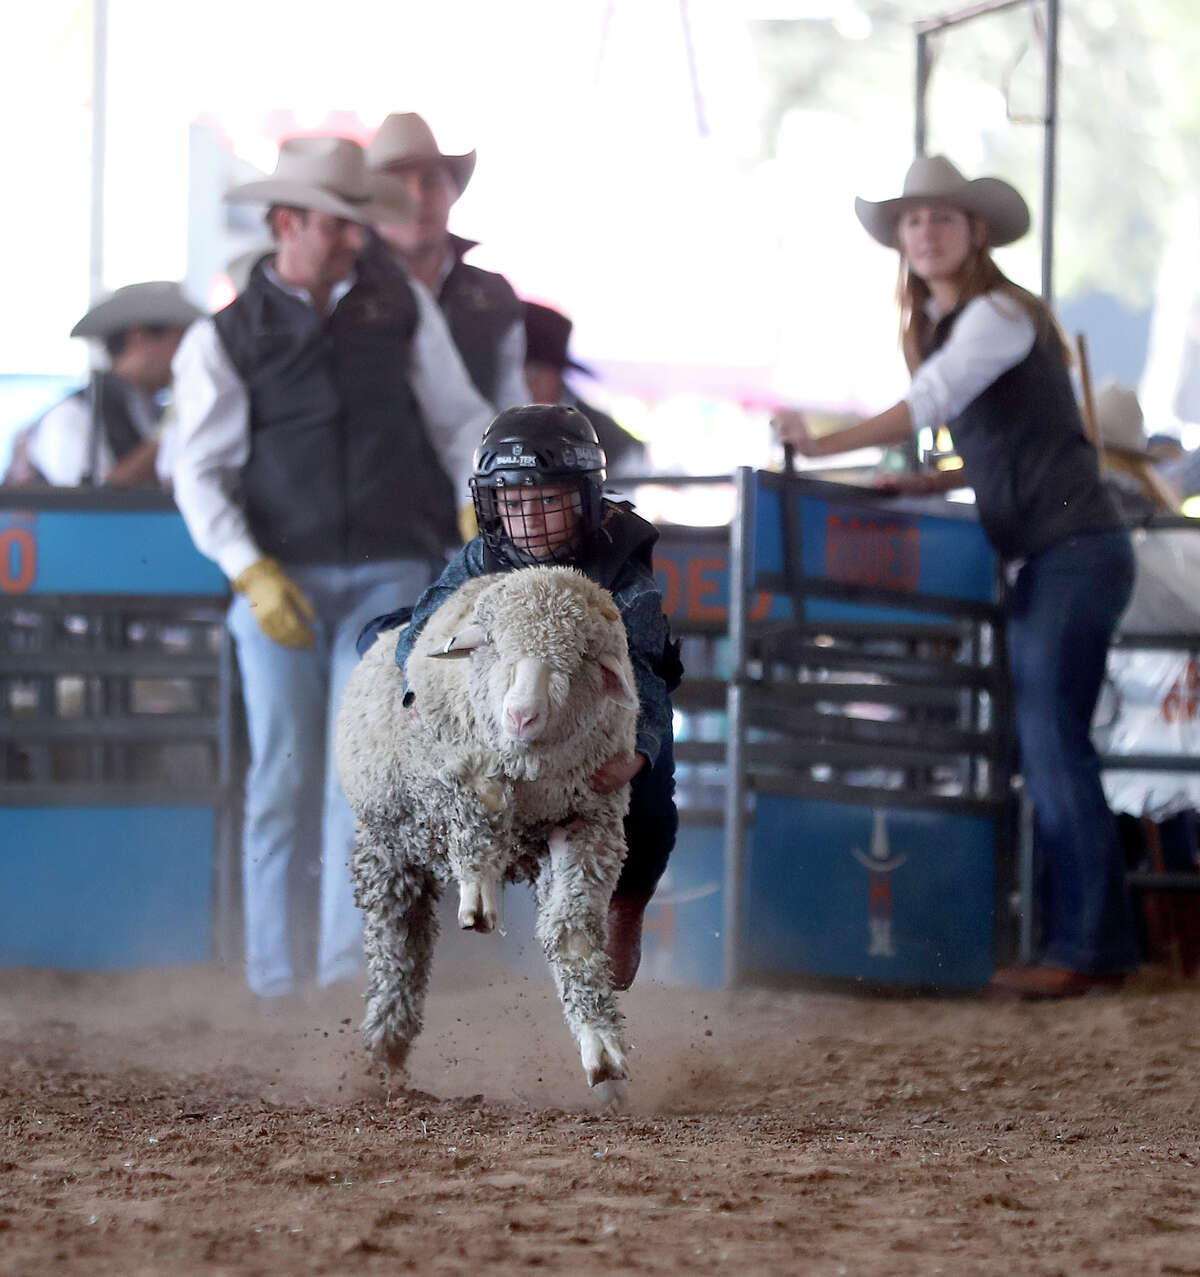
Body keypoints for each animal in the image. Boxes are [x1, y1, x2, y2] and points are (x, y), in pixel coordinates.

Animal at [331, 564, 643, 1093]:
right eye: (494, 645)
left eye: (578, 658)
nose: (520, 714)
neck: (526, 773)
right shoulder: (454, 772)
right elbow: (482, 805)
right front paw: (478, 894)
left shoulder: (587, 823)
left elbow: (571, 934)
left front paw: (601, 1046)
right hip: (386, 841)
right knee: (398, 942)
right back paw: (384, 1048)